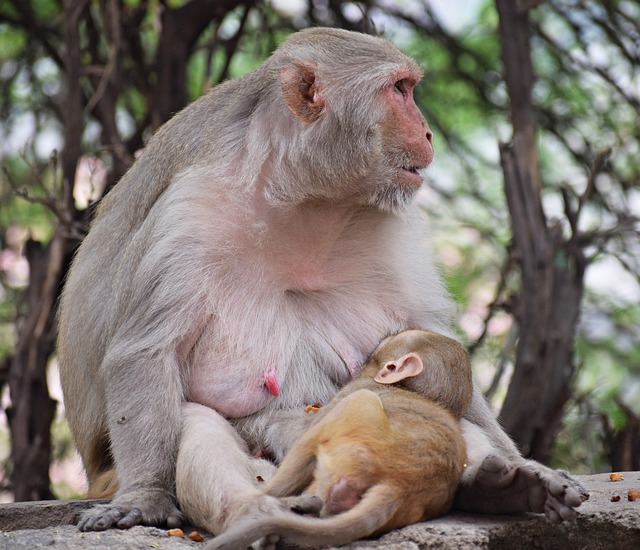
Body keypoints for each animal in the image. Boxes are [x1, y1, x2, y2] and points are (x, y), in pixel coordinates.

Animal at [208, 330, 472, 548]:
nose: (363, 357)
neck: (407, 389)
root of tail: (399, 487)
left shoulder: (356, 388)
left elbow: (302, 434)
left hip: (354, 439)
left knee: (319, 433)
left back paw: (264, 501)